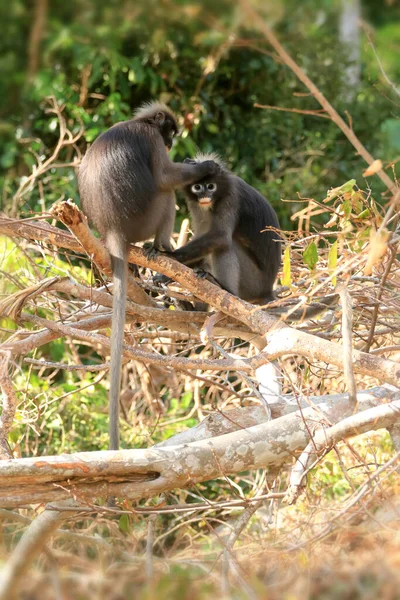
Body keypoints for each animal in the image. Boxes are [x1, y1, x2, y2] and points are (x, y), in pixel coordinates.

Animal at [77, 104, 222, 450]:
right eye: (169, 134)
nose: (169, 143)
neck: (140, 123)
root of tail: (113, 231)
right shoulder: (150, 140)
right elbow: (165, 177)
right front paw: (205, 166)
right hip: (147, 216)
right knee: (166, 193)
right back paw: (162, 247)